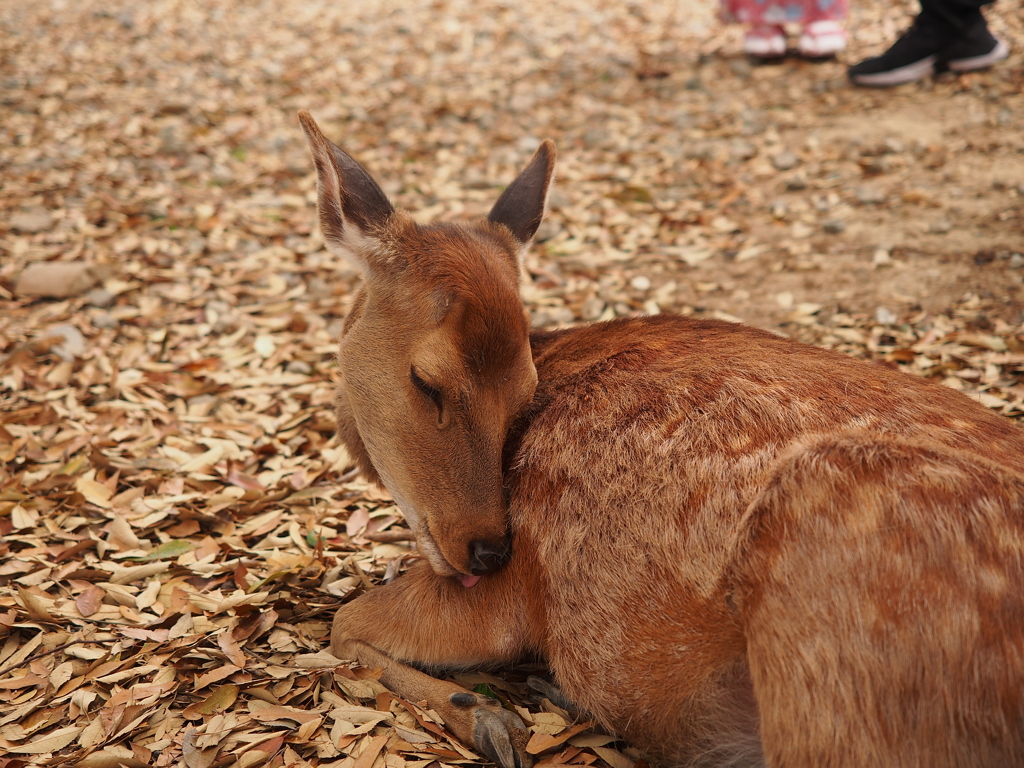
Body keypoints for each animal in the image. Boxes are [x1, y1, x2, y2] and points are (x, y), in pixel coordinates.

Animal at [296, 111, 1024, 768]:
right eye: (427, 382)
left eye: (526, 393)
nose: (488, 549)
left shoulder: (516, 596)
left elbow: (344, 623)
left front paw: (488, 718)